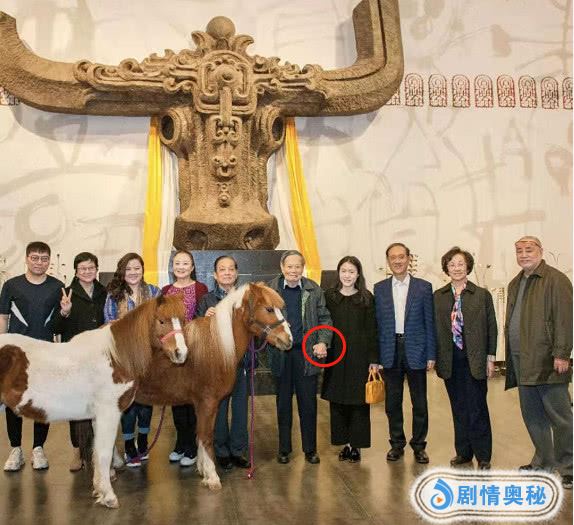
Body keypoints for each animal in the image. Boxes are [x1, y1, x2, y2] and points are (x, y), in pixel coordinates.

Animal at [0, 294, 188, 509]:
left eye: (183, 319)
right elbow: (105, 452)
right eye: (161, 321)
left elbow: (99, 452)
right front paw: (109, 496)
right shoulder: (109, 413)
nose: (181, 353)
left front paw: (100, 488)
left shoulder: (98, 417)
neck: (114, 357)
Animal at [136, 282, 293, 490]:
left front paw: (202, 469)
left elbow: (200, 436)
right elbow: (206, 437)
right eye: (268, 309)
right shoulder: (208, 403)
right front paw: (211, 476)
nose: (289, 339)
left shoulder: (203, 404)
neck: (216, 346)